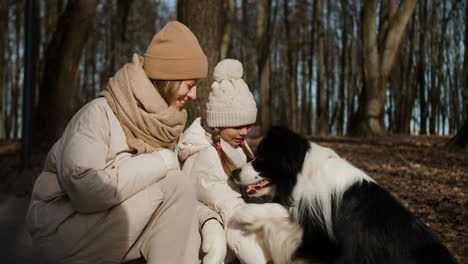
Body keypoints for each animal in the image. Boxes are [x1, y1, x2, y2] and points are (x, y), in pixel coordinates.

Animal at [231, 127, 458, 262]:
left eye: (262, 157)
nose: (234, 173)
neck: (303, 173)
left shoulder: (322, 242)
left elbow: (280, 212)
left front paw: (241, 214)